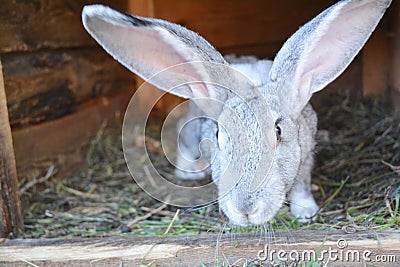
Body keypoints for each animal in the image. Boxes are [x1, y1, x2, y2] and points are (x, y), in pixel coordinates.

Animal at [81, 0, 390, 226]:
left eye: (278, 131)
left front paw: (305, 213)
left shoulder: (305, 159)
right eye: (219, 134)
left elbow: (301, 184)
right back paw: (189, 173)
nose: (246, 209)